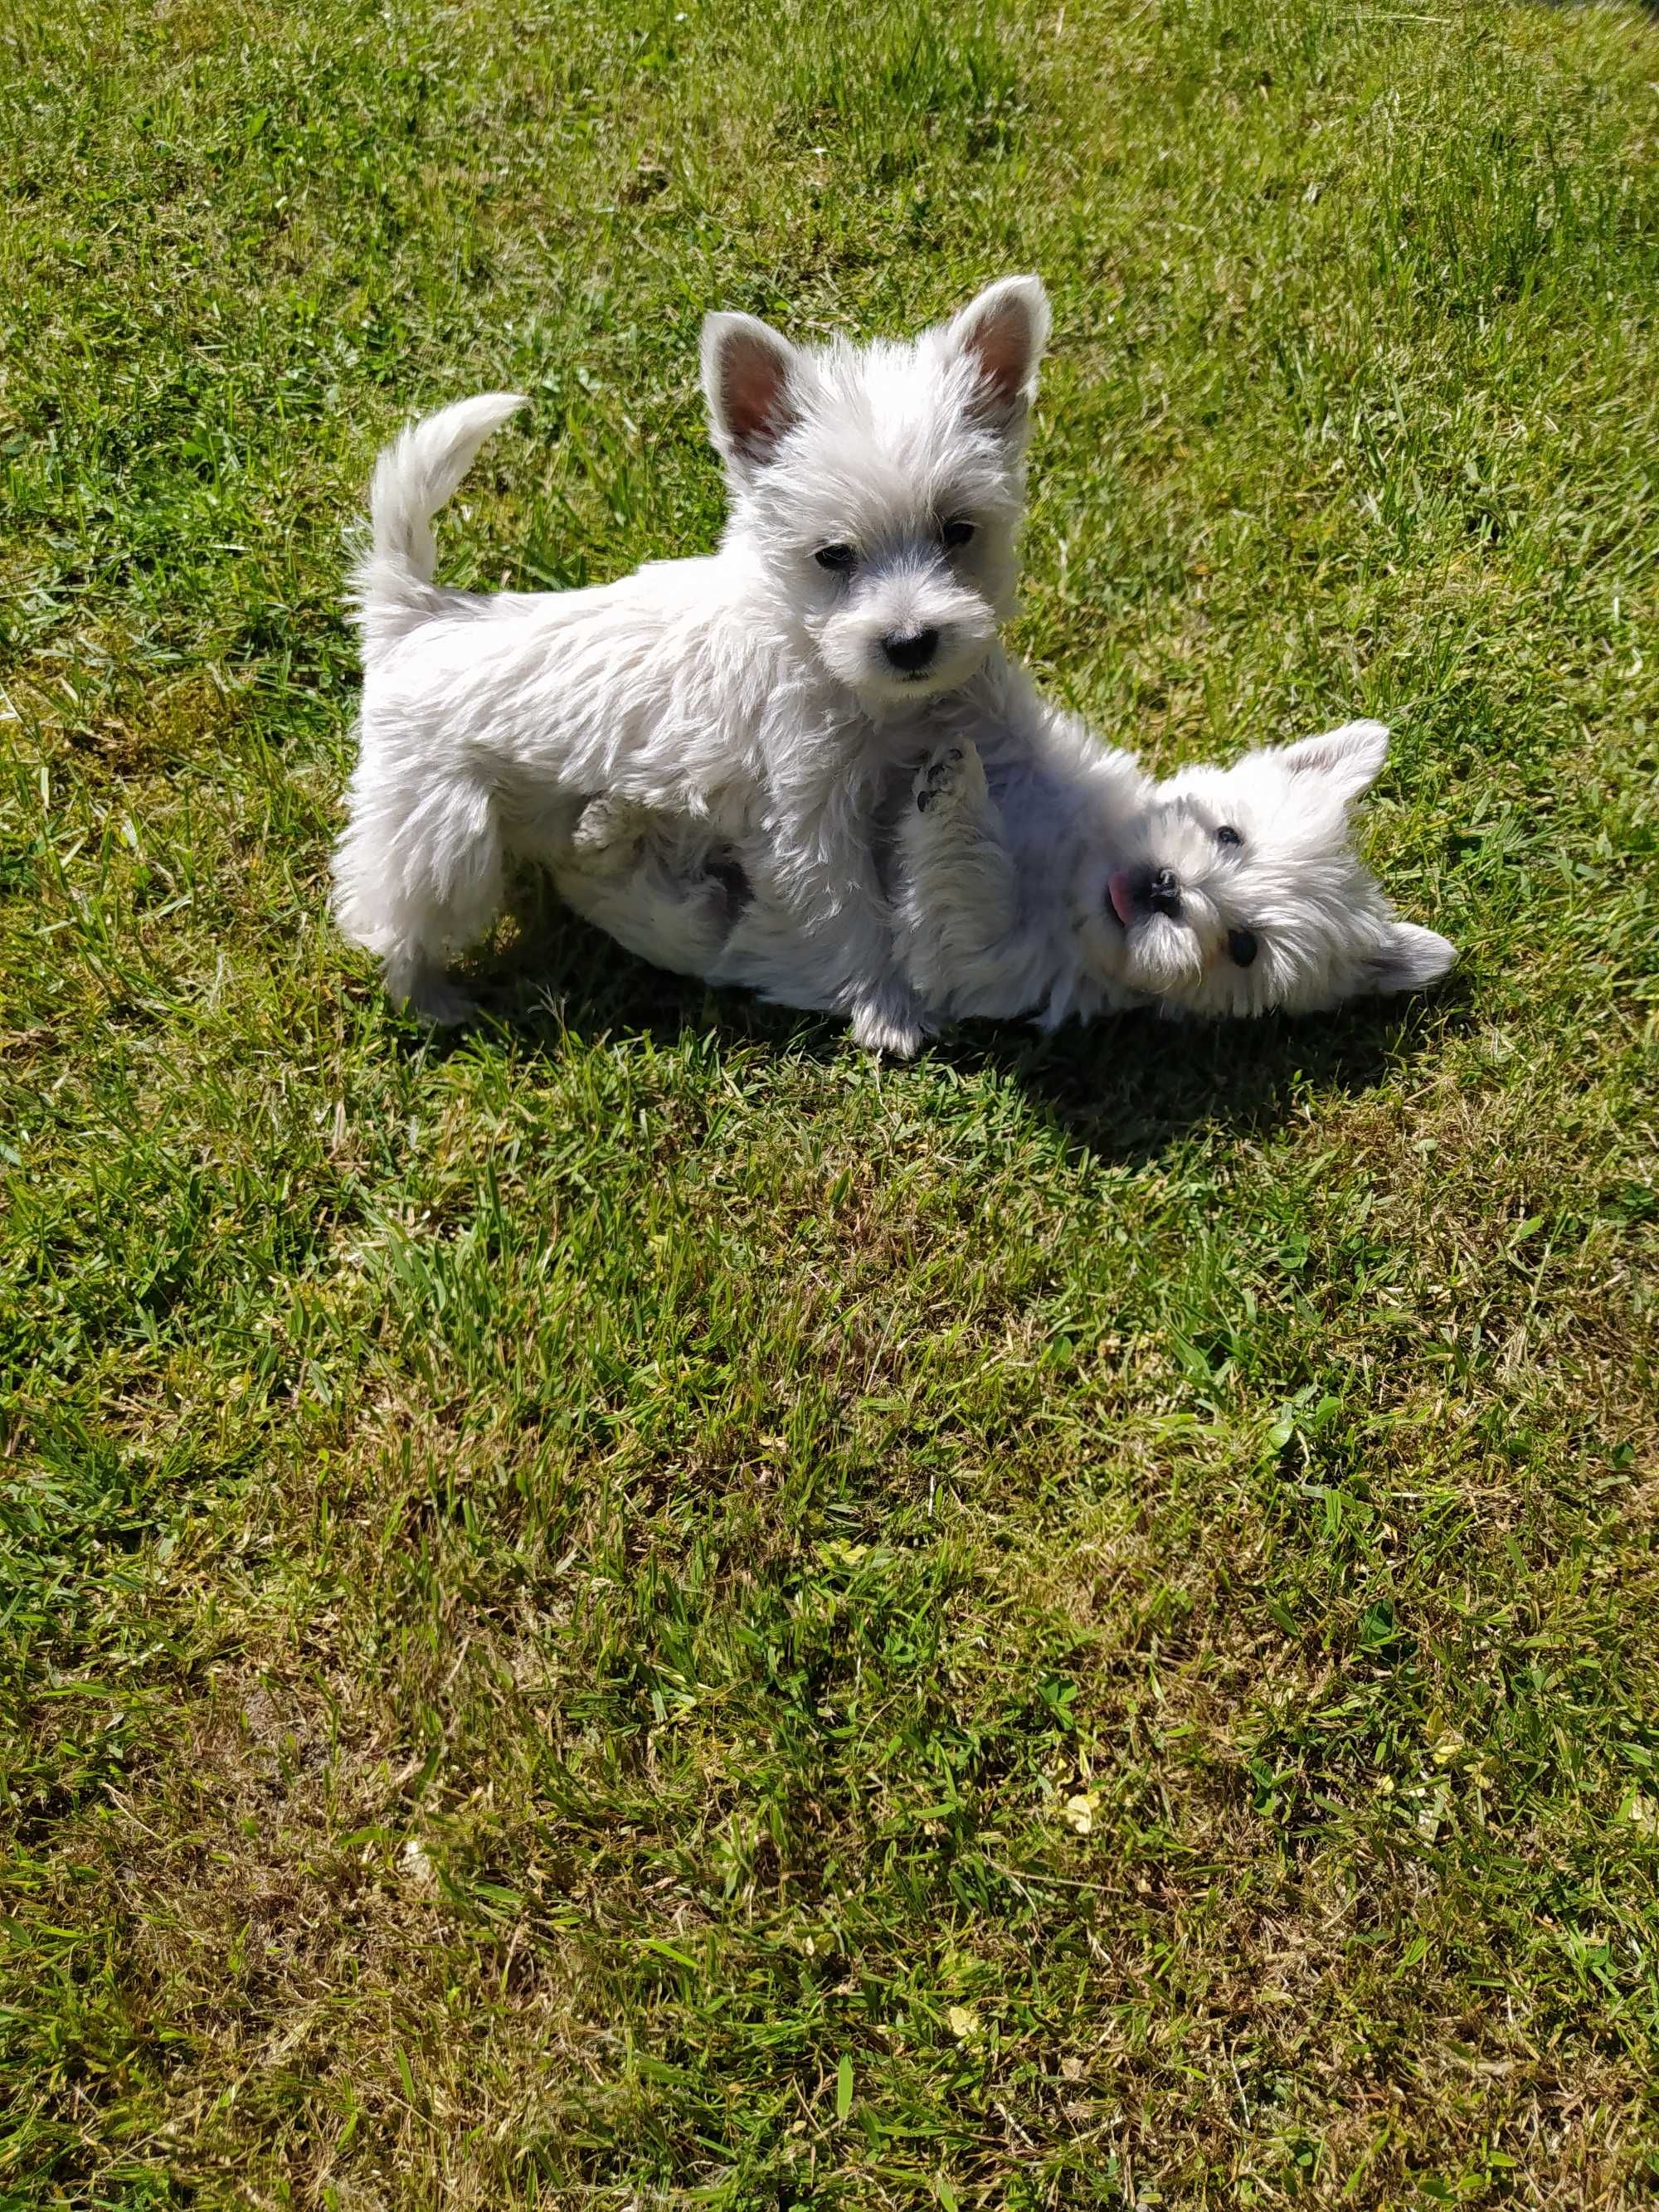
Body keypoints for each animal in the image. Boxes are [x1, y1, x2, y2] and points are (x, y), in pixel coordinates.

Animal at [329, 276, 1044, 1053]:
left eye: (958, 531)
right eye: (833, 554)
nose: (911, 642)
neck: (826, 663)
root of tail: (417, 614)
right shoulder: (806, 820)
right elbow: (848, 915)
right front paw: (888, 1011)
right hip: (442, 830)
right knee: (392, 917)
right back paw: (429, 997)